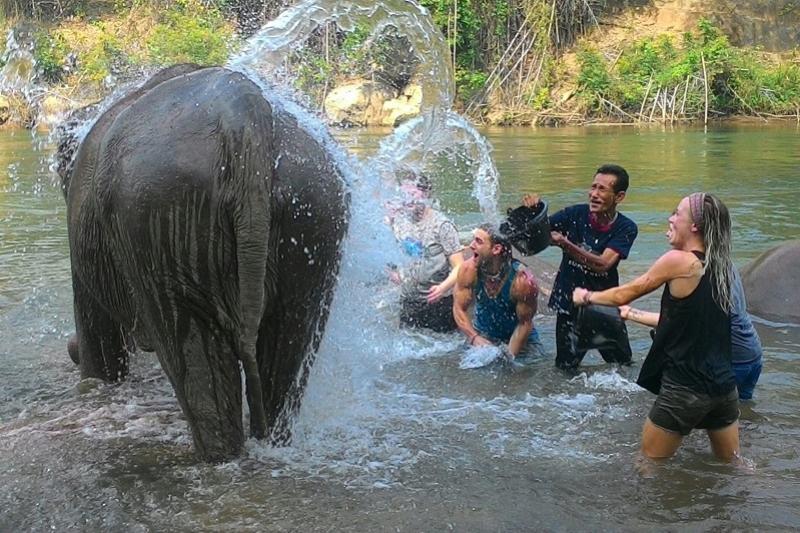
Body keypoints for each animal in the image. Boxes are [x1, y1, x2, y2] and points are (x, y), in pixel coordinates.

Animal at [56, 64, 350, 462]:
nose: (67, 350)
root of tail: (244, 116)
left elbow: (96, 334)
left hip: (160, 215)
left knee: (189, 350)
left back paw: (216, 456)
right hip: (314, 210)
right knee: (289, 344)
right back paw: (271, 444)